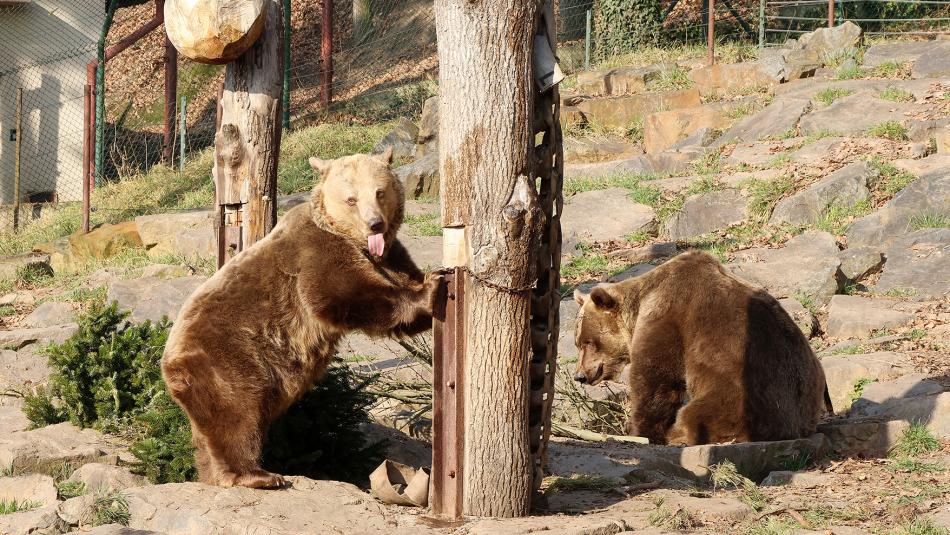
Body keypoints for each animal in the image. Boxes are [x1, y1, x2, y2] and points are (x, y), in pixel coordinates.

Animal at [161, 148, 438, 490]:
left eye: (380, 192)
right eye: (351, 199)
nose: (375, 224)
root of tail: (169, 365)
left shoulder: (392, 256)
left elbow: (402, 277)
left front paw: (437, 277)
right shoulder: (316, 253)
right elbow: (346, 296)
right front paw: (431, 290)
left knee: (207, 433)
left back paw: (213, 473)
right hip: (227, 359)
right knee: (238, 413)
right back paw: (257, 475)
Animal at [572, 253, 832, 446]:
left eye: (588, 342)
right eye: (578, 342)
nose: (580, 375)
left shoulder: (668, 313)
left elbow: (656, 377)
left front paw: (639, 430)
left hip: (743, 395)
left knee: (699, 414)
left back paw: (677, 433)